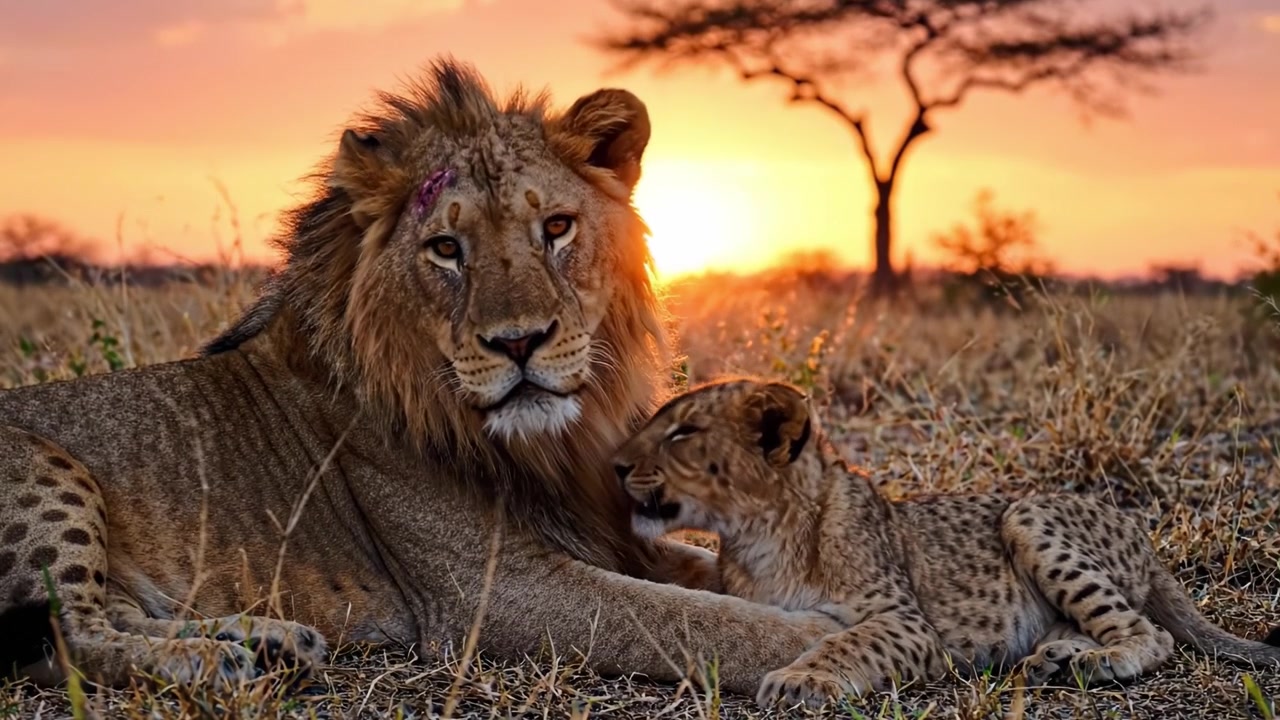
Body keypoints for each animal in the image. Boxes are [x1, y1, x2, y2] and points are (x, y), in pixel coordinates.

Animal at [0, 58, 838, 694]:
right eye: (445, 248)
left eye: (556, 227)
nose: (519, 342)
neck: (542, 445)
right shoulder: (493, 597)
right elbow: (692, 621)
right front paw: (831, 637)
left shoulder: (608, 532)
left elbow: (711, 577)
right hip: (44, 474)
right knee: (68, 637)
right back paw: (220, 661)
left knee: (109, 615)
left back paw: (272, 643)